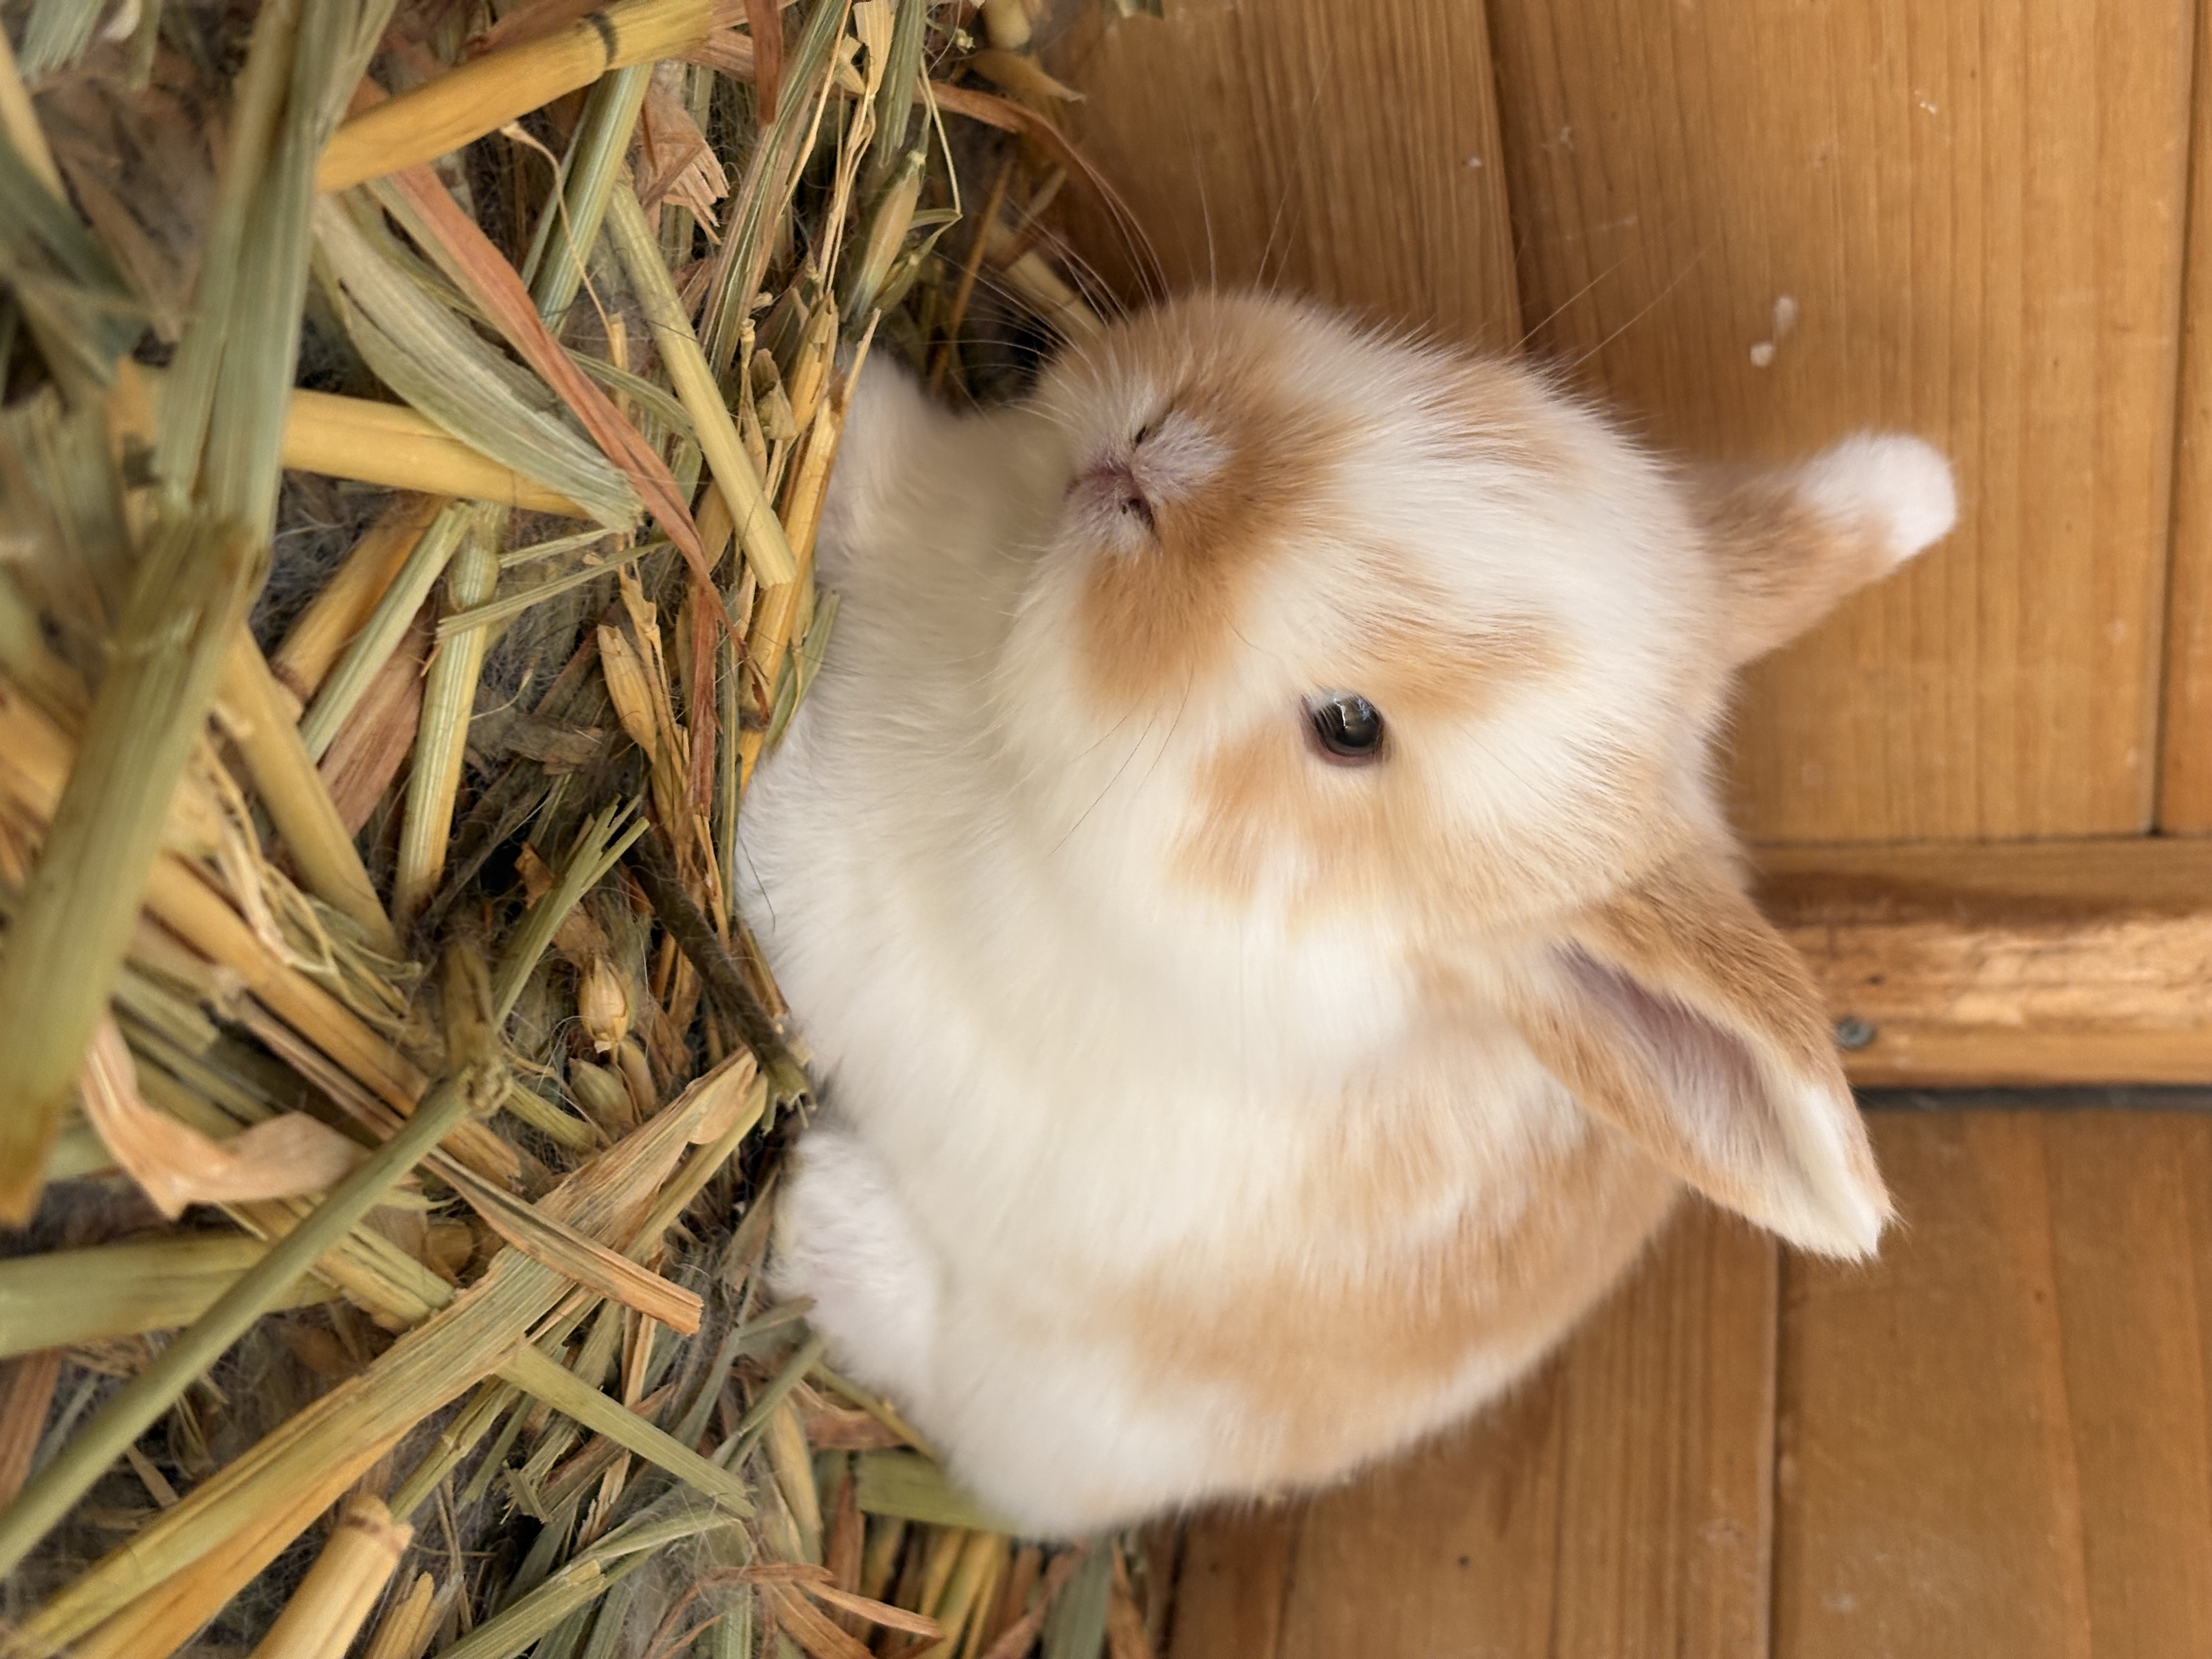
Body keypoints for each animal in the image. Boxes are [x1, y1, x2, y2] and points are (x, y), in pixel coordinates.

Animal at [735, 290, 1956, 1537]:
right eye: (1457, 402)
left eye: (1349, 726)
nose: (1160, 459)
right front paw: (840, 403)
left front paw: (749, 826)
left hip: (1068, 1404)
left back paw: (825, 1230)